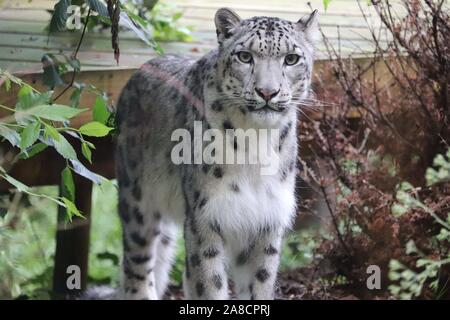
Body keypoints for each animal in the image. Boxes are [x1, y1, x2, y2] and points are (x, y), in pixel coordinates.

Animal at [110, 7, 320, 300]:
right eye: (245, 56)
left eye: (291, 59)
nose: (267, 92)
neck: (257, 142)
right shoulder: (206, 219)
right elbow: (210, 284)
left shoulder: (266, 220)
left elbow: (260, 283)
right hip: (137, 202)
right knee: (136, 267)